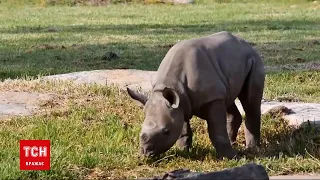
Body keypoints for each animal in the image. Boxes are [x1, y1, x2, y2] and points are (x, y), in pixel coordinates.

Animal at [127, 31, 264, 159]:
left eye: (166, 131)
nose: (145, 154)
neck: (172, 85)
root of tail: (246, 44)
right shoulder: (180, 102)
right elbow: (183, 129)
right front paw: (184, 151)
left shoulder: (212, 98)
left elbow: (216, 130)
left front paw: (230, 157)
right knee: (228, 99)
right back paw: (233, 143)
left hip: (254, 60)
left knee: (250, 103)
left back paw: (252, 149)